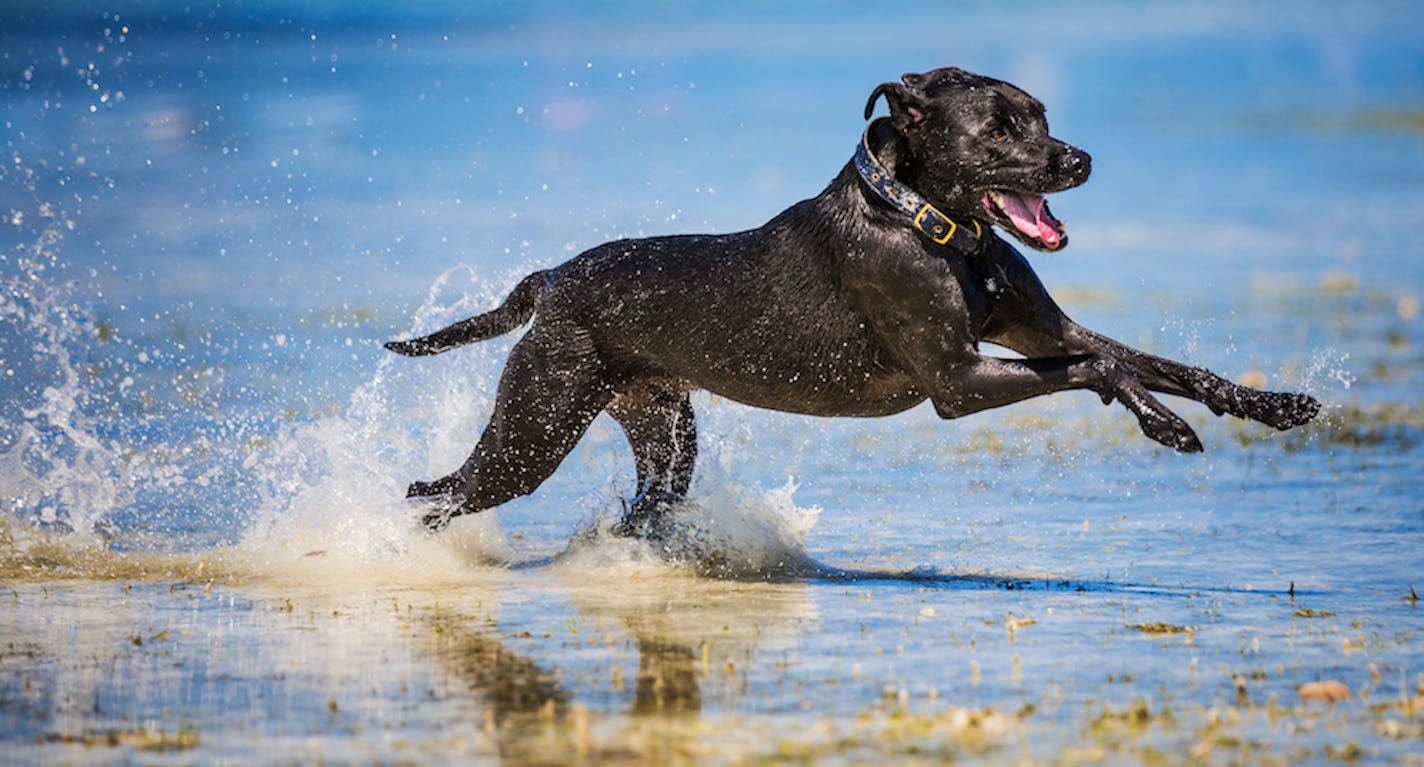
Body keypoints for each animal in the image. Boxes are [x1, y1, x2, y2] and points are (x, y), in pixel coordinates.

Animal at [384, 69, 1315, 537]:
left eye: (1042, 114)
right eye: (1000, 128)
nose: (1079, 160)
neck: (931, 225)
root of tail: (552, 278)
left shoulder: (1033, 329)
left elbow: (1146, 358)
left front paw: (1274, 403)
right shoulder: (957, 382)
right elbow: (1098, 367)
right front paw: (1164, 423)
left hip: (662, 427)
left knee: (645, 500)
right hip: (538, 421)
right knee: (440, 491)